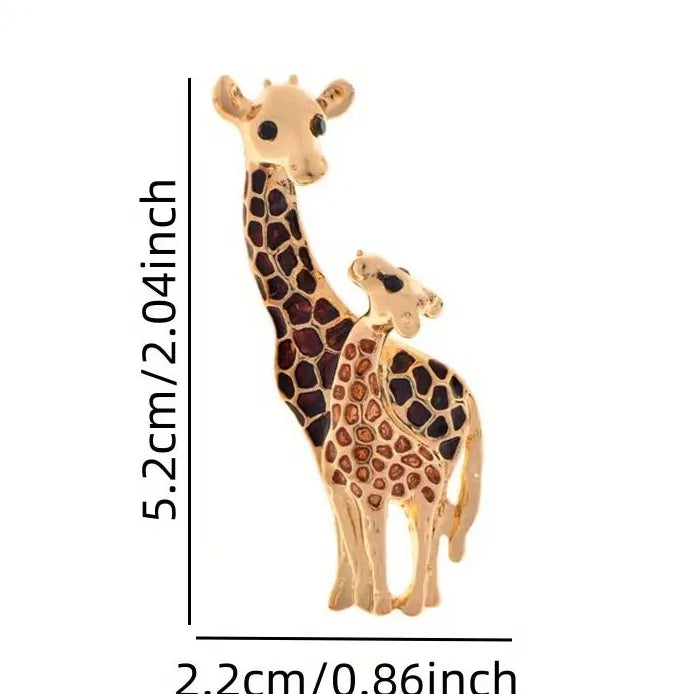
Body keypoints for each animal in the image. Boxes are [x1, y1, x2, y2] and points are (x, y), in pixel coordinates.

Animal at [213, 75, 482, 612]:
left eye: (318, 122)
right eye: (265, 126)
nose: (311, 169)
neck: (292, 317)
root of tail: (469, 398)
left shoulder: (320, 425)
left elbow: (346, 516)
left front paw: (352, 597)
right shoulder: (318, 433)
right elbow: (344, 516)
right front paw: (350, 596)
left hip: (444, 455)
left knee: (436, 517)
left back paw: (416, 600)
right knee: (434, 518)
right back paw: (419, 600)